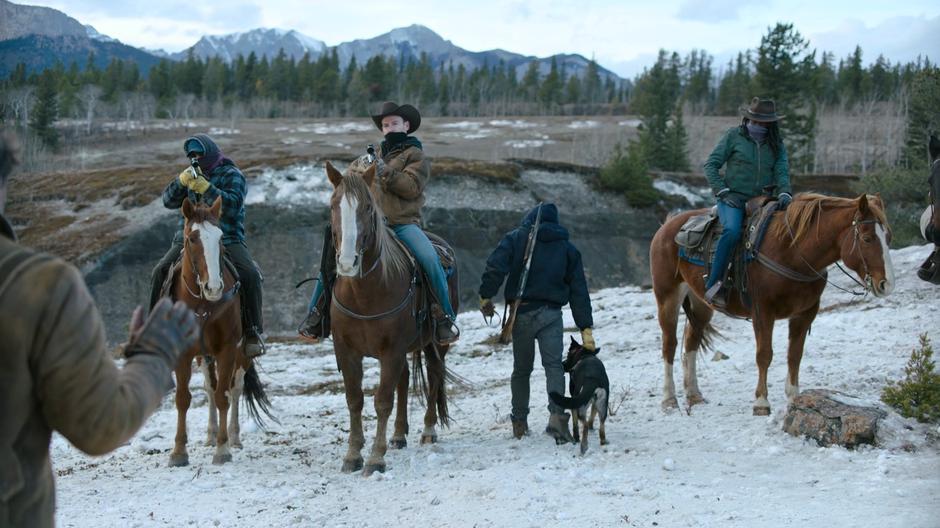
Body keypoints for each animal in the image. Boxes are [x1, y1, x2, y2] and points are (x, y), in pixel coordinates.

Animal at [169, 198, 274, 466]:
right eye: (192, 238)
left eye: (220, 238)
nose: (214, 287)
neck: (201, 305)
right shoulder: (184, 353)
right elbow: (183, 398)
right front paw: (178, 452)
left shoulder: (227, 349)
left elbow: (223, 396)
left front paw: (222, 449)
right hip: (204, 356)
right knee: (210, 387)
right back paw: (210, 434)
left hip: (243, 354)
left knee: (234, 389)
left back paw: (234, 437)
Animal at [326, 163, 458, 476]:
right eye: (334, 205)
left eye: (366, 207)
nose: (347, 263)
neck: (364, 294)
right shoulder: (346, 351)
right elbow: (354, 399)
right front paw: (353, 454)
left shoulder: (392, 350)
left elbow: (382, 401)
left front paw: (375, 458)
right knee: (405, 378)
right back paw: (398, 435)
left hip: (436, 343)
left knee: (434, 375)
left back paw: (428, 430)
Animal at [648, 192, 892, 414]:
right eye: (867, 239)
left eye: (888, 237)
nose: (886, 284)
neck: (793, 252)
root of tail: (668, 225)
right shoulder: (763, 312)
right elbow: (764, 355)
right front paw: (761, 402)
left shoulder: (805, 314)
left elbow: (795, 355)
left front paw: (794, 400)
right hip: (668, 297)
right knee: (669, 345)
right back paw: (669, 400)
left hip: (701, 304)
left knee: (691, 341)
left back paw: (694, 395)